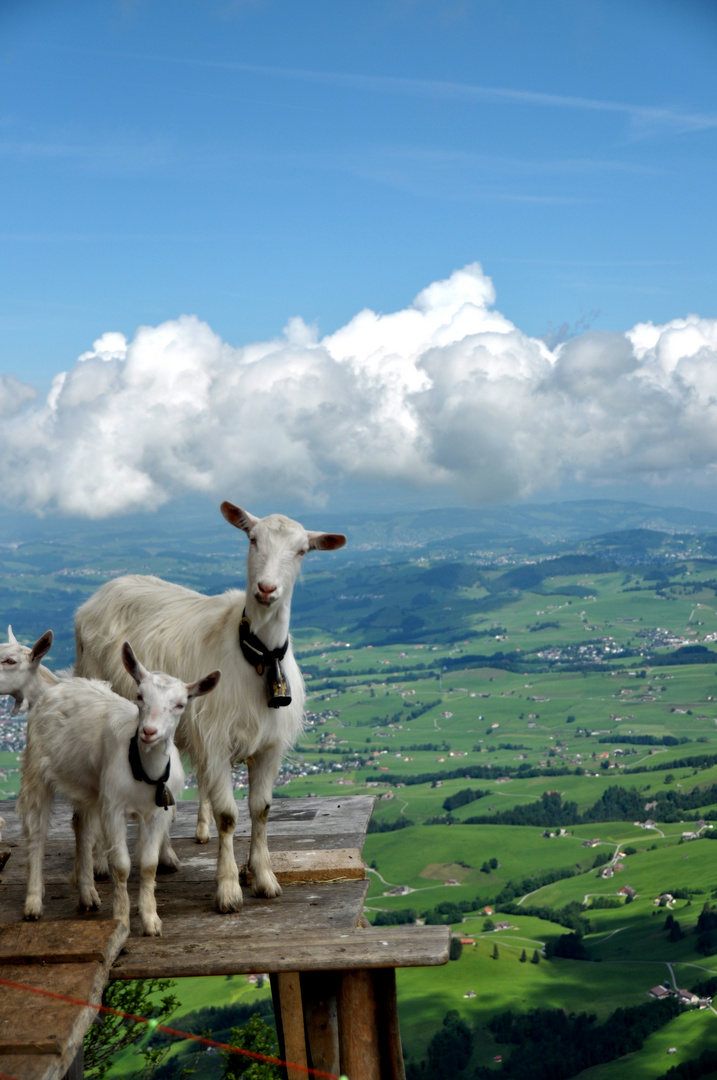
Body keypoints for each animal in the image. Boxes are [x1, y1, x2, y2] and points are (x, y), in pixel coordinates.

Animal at [20, 643, 221, 933]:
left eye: (180, 704)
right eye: (140, 696)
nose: (149, 732)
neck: (143, 770)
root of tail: (62, 683)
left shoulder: (157, 813)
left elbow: (148, 865)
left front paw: (151, 921)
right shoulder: (114, 808)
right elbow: (122, 865)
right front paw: (122, 920)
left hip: (90, 786)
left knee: (82, 827)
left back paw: (88, 895)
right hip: (37, 767)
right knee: (36, 832)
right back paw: (34, 904)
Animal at [75, 503, 347, 911]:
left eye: (302, 551)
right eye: (253, 539)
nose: (267, 589)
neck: (257, 657)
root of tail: (104, 589)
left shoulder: (269, 746)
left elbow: (261, 809)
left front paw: (263, 877)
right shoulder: (216, 741)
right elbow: (228, 815)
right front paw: (229, 889)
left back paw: (165, 857)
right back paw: (101, 866)